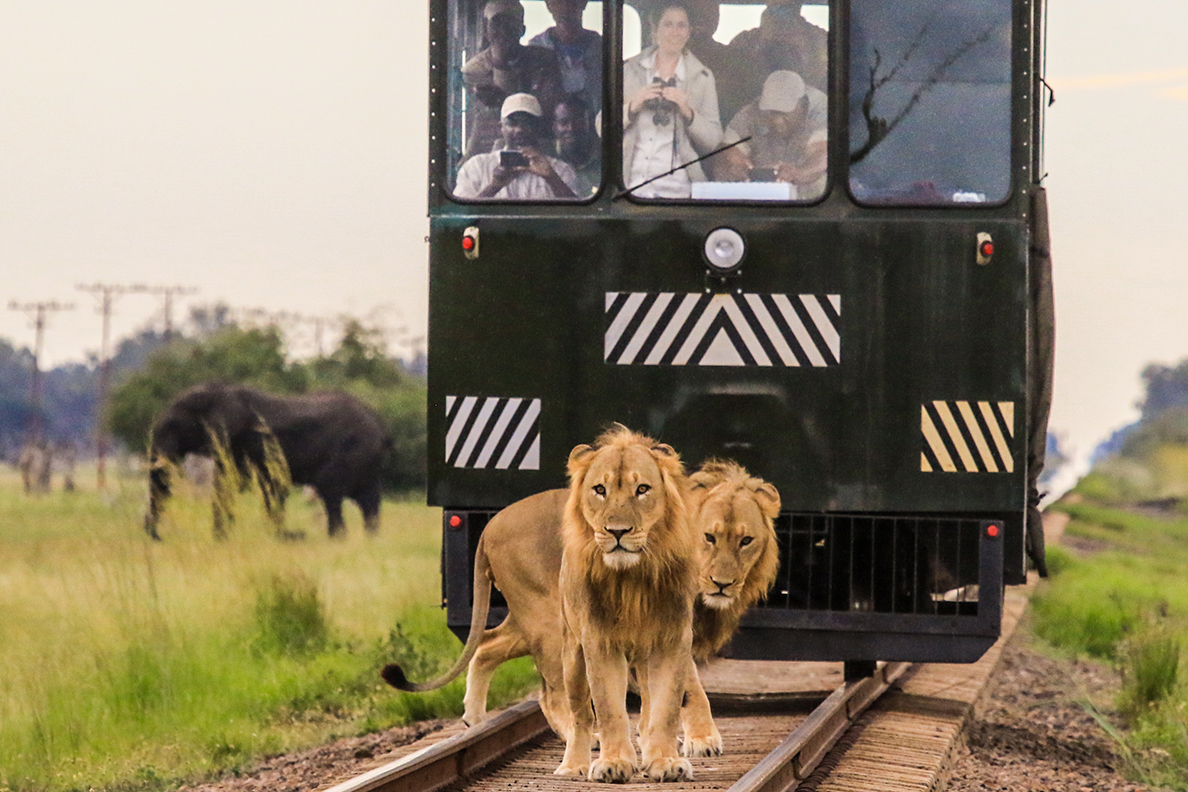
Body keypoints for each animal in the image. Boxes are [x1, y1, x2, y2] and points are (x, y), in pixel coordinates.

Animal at [143, 382, 392, 540]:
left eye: (174, 425)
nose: (157, 537)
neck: (219, 391)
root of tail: (381, 427)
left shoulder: (241, 439)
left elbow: (242, 484)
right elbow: (249, 485)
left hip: (351, 452)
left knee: (330, 491)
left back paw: (336, 539)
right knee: (369, 500)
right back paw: (370, 539)